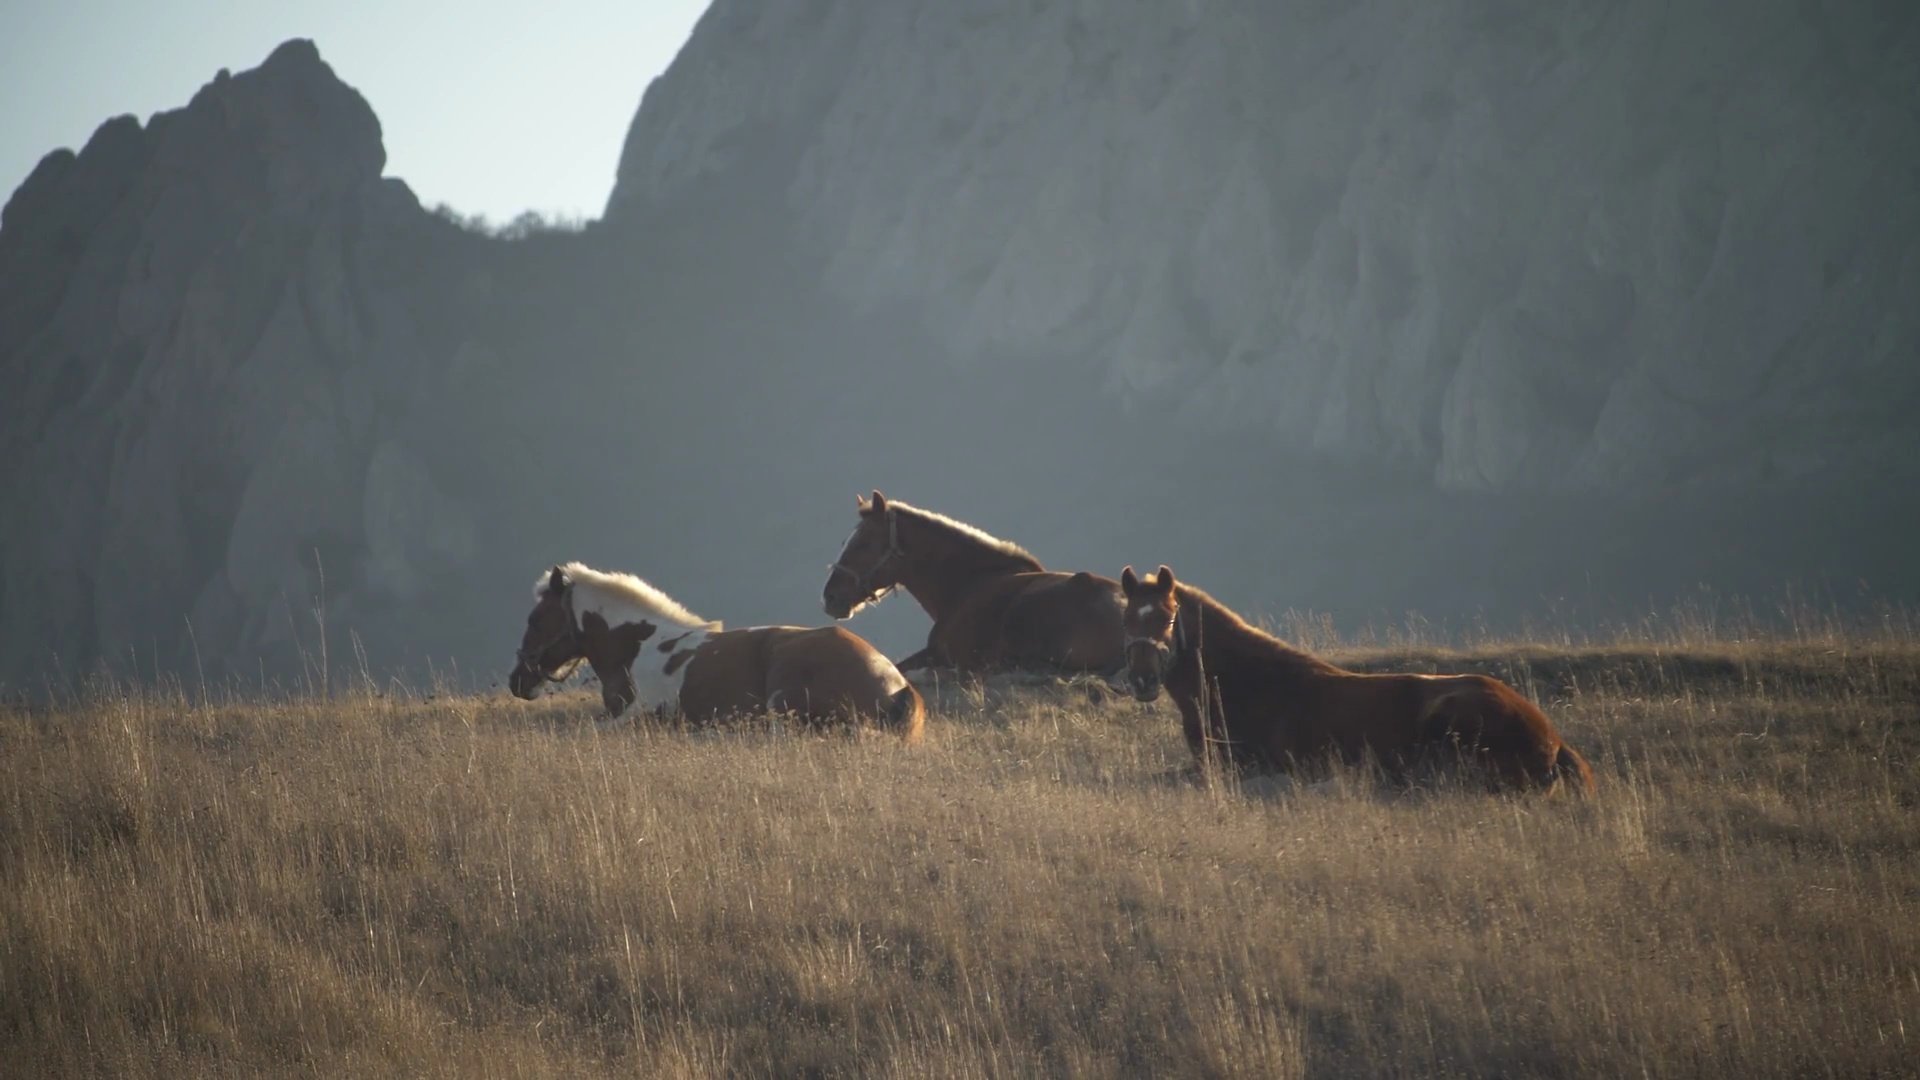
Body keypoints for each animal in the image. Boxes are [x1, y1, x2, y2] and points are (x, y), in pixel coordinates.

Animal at [510, 557, 929, 734]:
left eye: (535, 619)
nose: (518, 681)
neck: (640, 646)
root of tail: (896, 685)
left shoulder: (639, 715)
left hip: (781, 706)